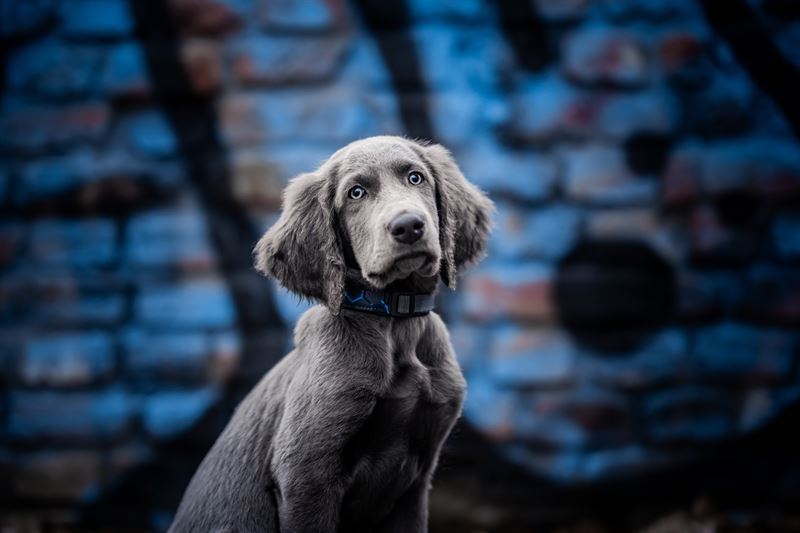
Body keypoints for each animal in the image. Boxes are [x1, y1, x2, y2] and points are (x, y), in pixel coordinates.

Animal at [170, 135, 494, 528]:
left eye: (415, 177)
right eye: (356, 193)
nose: (408, 226)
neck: (393, 321)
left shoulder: (416, 482)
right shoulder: (304, 474)